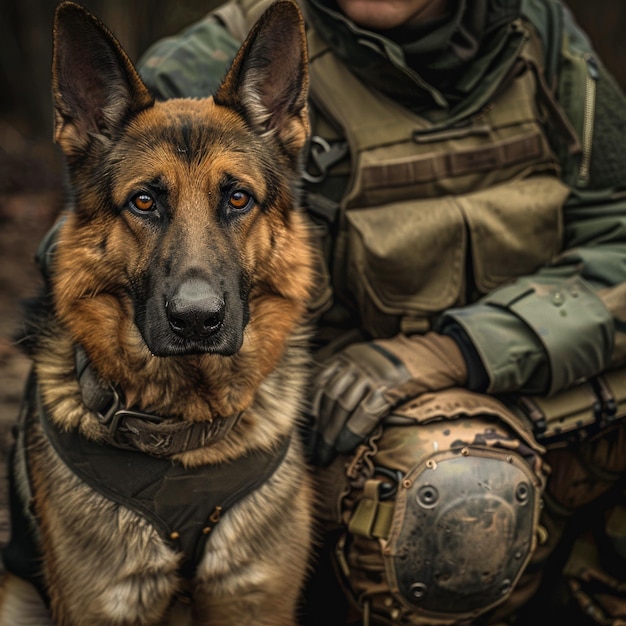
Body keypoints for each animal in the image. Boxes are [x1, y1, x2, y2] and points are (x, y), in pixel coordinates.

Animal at [0, 2, 312, 620]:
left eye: (237, 198)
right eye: (144, 201)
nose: (196, 320)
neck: (187, 423)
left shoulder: (252, 599)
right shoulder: (103, 604)